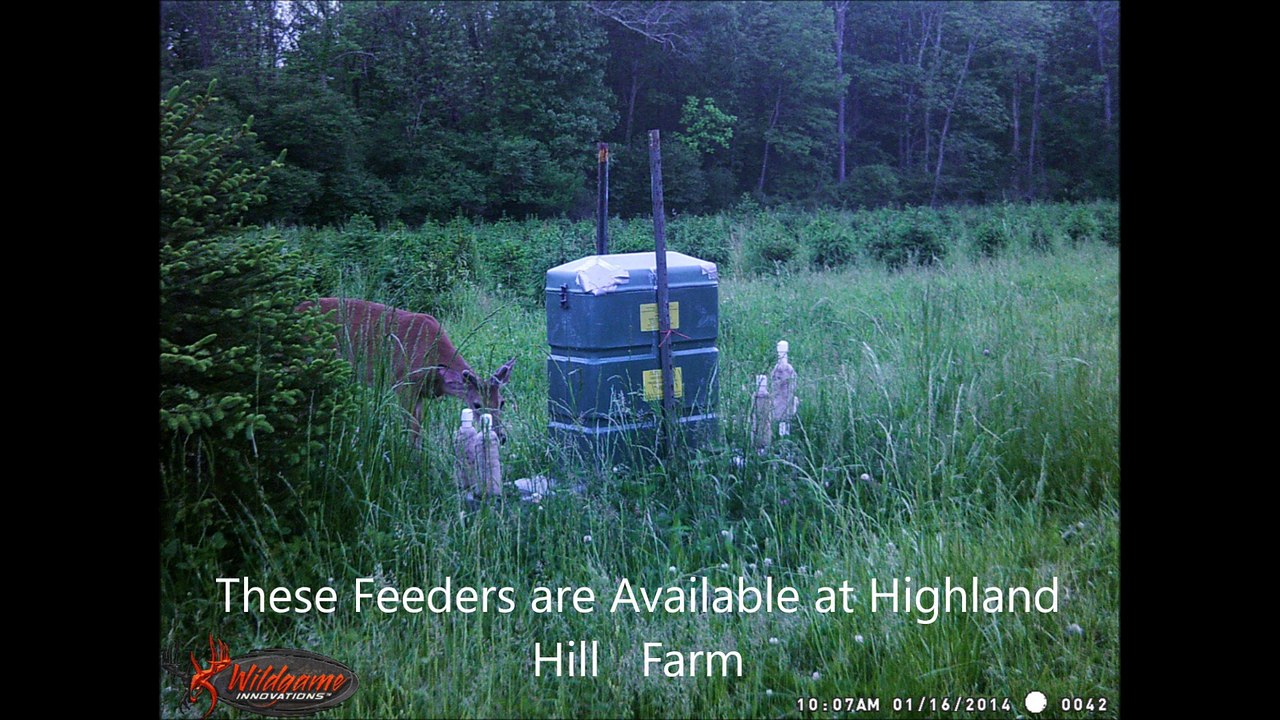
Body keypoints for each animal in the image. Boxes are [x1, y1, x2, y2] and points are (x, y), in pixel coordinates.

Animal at [296, 298, 516, 447]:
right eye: (477, 405)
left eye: (502, 402)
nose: (501, 437)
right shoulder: (404, 384)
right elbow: (411, 428)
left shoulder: (420, 394)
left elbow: (417, 429)